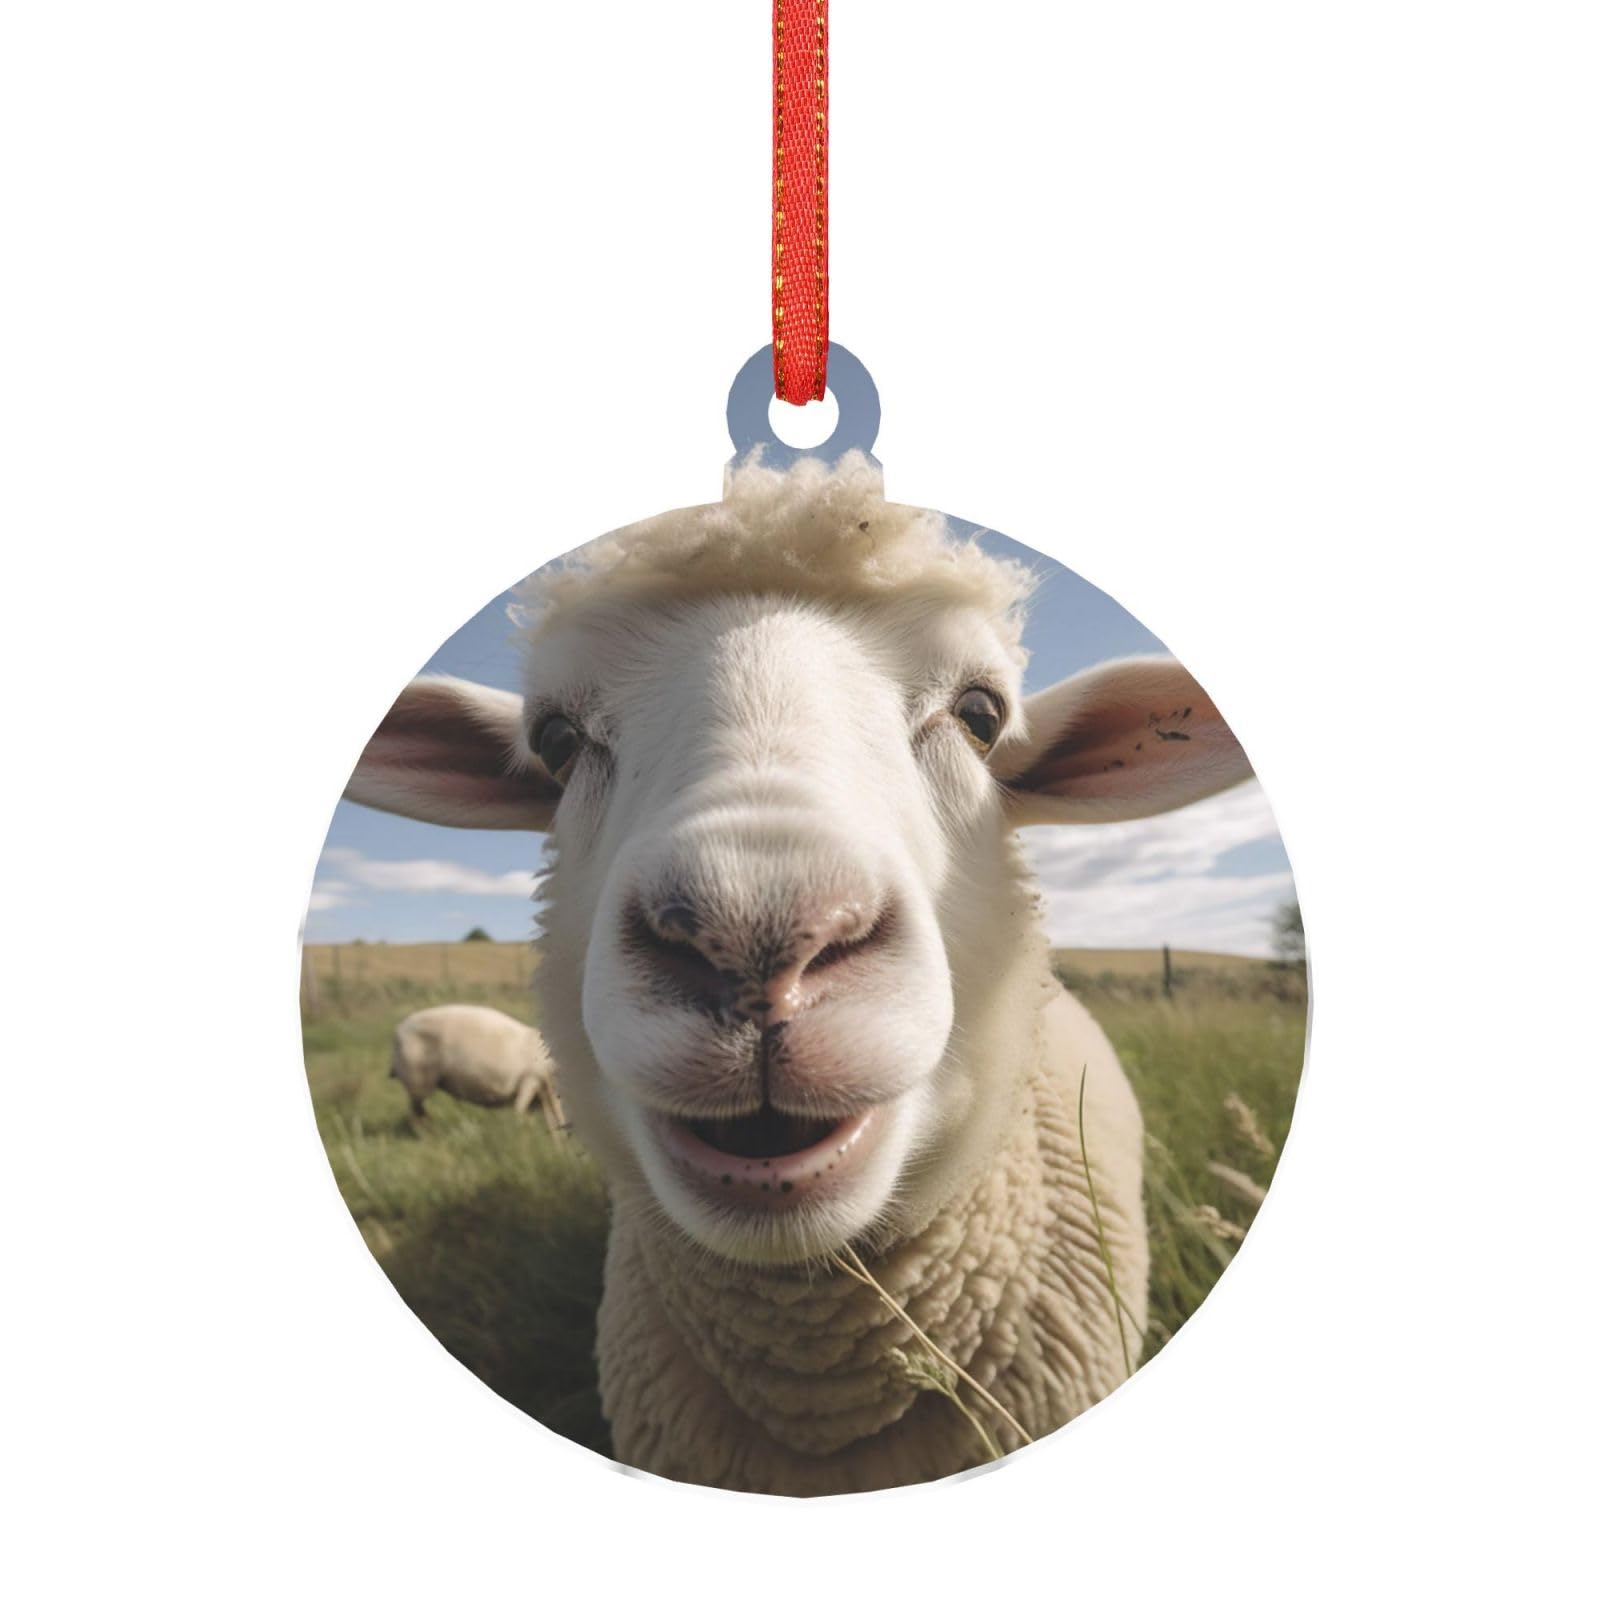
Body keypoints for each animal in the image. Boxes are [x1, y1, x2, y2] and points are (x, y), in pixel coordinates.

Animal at [390, 1004, 565, 1135]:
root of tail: (399, 1030)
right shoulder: (530, 1080)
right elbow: (521, 1110)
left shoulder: (543, 1093)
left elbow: (554, 1122)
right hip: (417, 1080)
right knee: (415, 1114)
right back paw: (425, 1135)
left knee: (418, 1113)